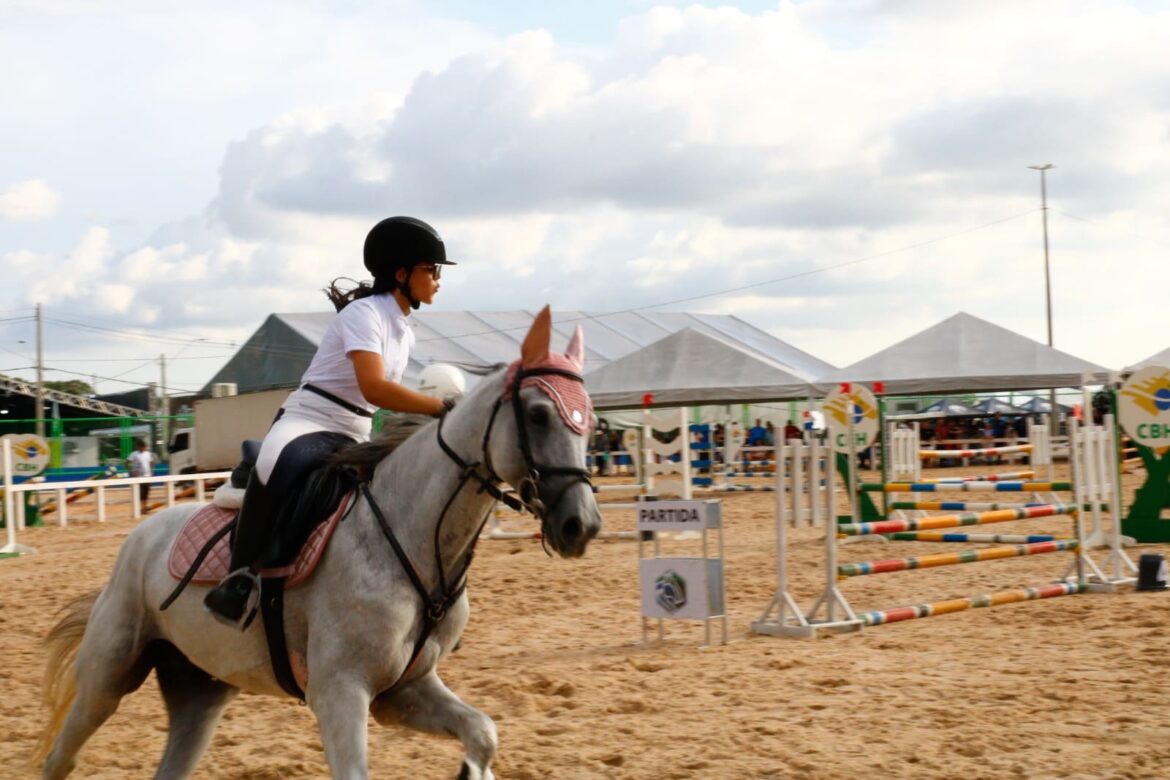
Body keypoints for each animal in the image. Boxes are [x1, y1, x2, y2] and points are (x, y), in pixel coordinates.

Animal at [36, 308, 603, 776]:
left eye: (593, 421)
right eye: (537, 414)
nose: (583, 525)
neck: (412, 537)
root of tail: (144, 534)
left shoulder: (405, 690)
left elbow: (483, 733)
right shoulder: (340, 692)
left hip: (200, 689)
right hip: (107, 679)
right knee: (62, 755)